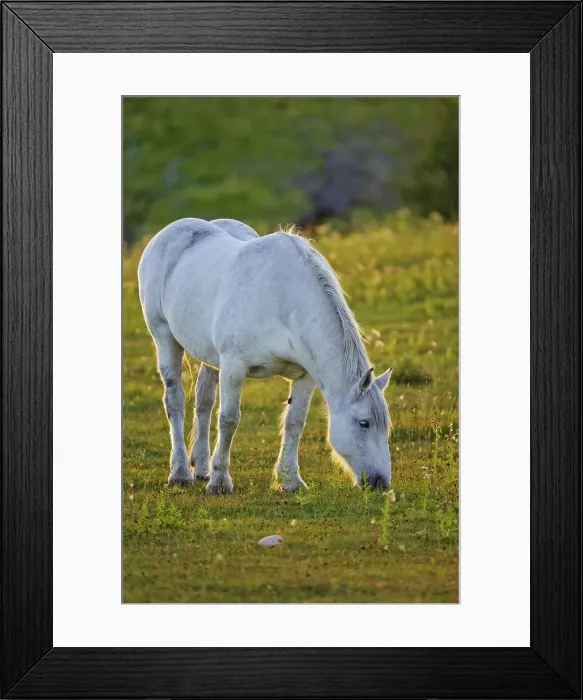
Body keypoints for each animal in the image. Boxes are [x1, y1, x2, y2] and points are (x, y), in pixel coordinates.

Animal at [137, 217, 393, 495]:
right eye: (364, 423)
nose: (381, 482)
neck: (284, 302)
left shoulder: (305, 376)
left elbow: (295, 422)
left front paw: (290, 480)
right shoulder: (234, 368)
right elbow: (229, 420)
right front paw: (220, 482)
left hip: (210, 357)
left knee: (203, 401)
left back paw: (202, 468)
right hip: (165, 339)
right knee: (175, 402)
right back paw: (181, 473)